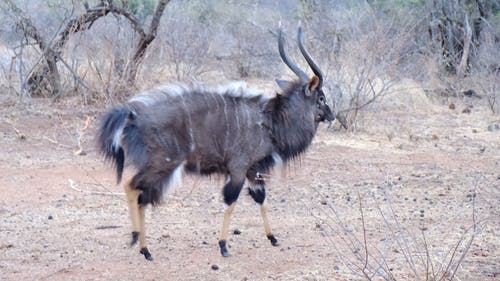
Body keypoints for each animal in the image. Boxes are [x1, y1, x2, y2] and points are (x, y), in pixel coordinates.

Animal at [96, 27, 332, 260]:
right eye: (321, 97)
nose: (331, 115)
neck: (270, 121)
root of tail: (133, 116)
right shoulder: (238, 169)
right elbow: (231, 201)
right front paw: (223, 246)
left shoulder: (253, 171)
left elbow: (261, 198)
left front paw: (273, 238)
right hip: (162, 165)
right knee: (132, 187)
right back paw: (140, 243)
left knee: (139, 195)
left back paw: (142, 246)